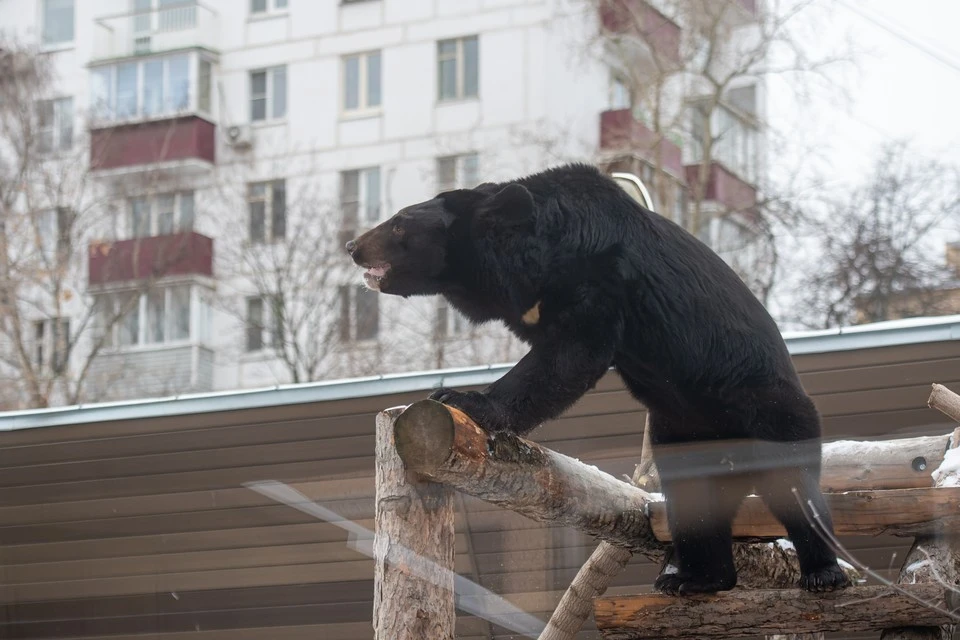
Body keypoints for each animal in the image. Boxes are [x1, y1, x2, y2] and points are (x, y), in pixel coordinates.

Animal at [345, 163, 850, 595]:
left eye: (398, 225)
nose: (352, 247)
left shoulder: (599, 278)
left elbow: (570, 354)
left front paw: (463, 398)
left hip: (767, 406)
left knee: (794, 486)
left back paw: (823, 573)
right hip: (680, 433)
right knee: (693, 499)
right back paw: (696, 579)